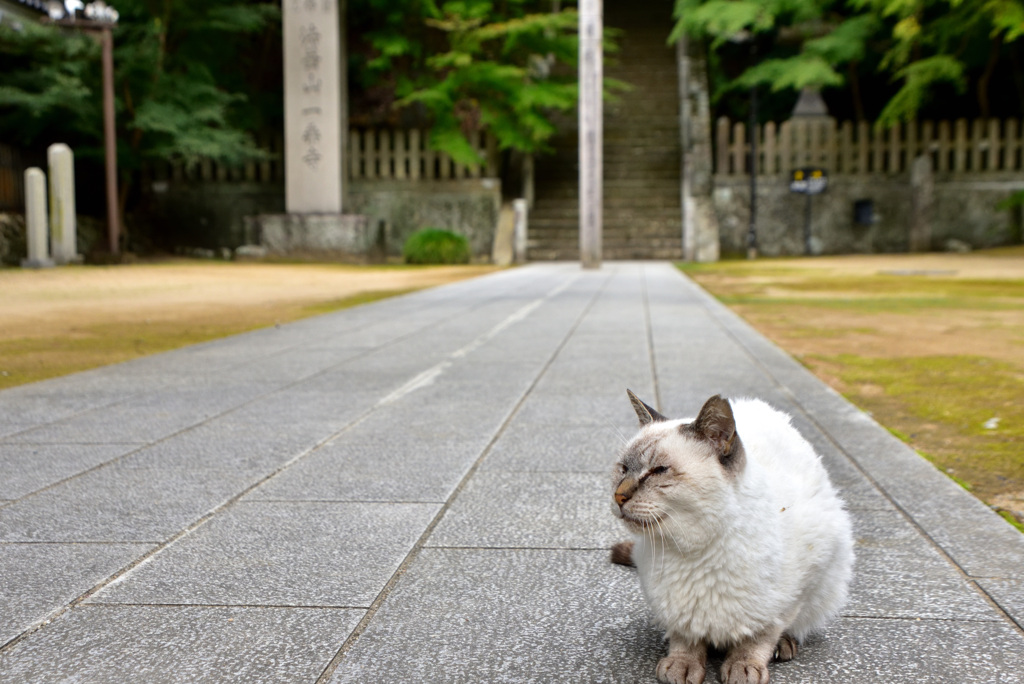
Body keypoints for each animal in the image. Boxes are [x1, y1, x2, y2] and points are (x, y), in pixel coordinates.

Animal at [606, 389, 856, 684]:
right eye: (623, 468)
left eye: (658, 471)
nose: (619, 496)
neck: (693, 549)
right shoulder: (674, 604)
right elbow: (685, 635)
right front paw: (682, 663)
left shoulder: (795, 592)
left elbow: (760, 636)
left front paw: (743, 665)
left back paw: (784, 646)